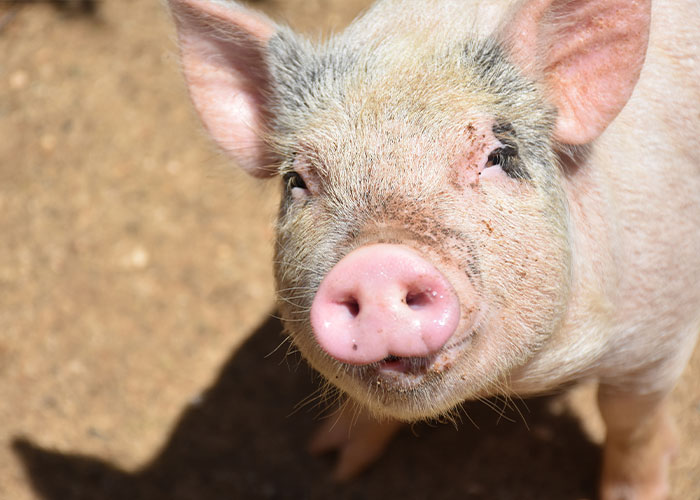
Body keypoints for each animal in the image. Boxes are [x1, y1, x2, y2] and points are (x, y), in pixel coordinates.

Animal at [166, 0, 700, 497]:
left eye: (499, 156)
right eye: (296, 181)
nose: (377, 262)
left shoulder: (660, 333)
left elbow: (629, 421)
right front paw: (334, 462)